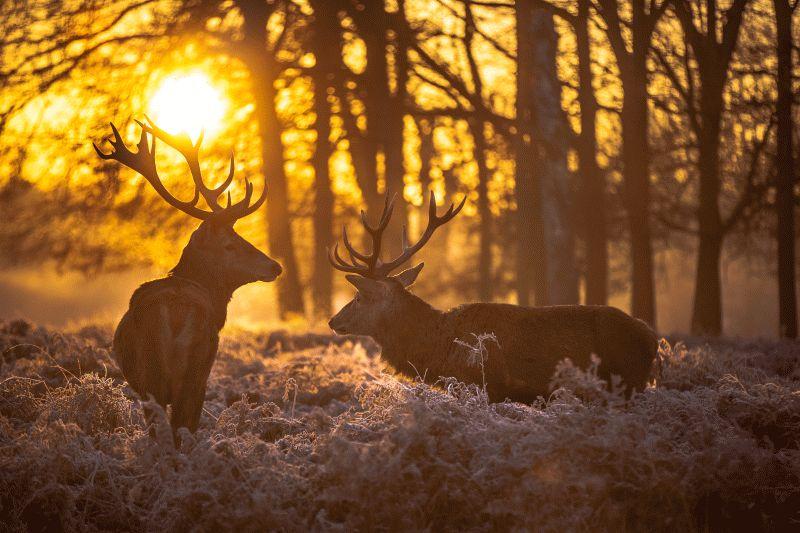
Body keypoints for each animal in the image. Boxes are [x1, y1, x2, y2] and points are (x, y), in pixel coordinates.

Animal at [328, 192, 658, 402]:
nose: (333, 321)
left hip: (628, 380)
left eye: (359, 297)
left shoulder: (485, 386)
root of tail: (652, 338)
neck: (440, 350)